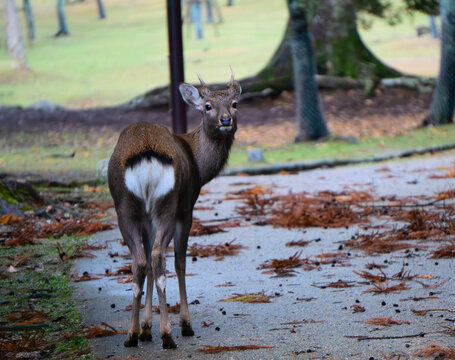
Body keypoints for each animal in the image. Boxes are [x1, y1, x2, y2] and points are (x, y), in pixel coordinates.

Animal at [108, 68, 242, 348]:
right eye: (207, 106)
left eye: (235, 103)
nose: (225, 119)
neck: (199, 167)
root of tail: (147, 156)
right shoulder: (187, 207)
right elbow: (181, 262)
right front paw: (184, 323)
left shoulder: (147, 217)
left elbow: (148, 262)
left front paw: (146, 328)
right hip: (167, 205)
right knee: (160, 257)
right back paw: (169, 334)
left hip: (126, 206)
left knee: (141, 260)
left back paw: (131, 335)